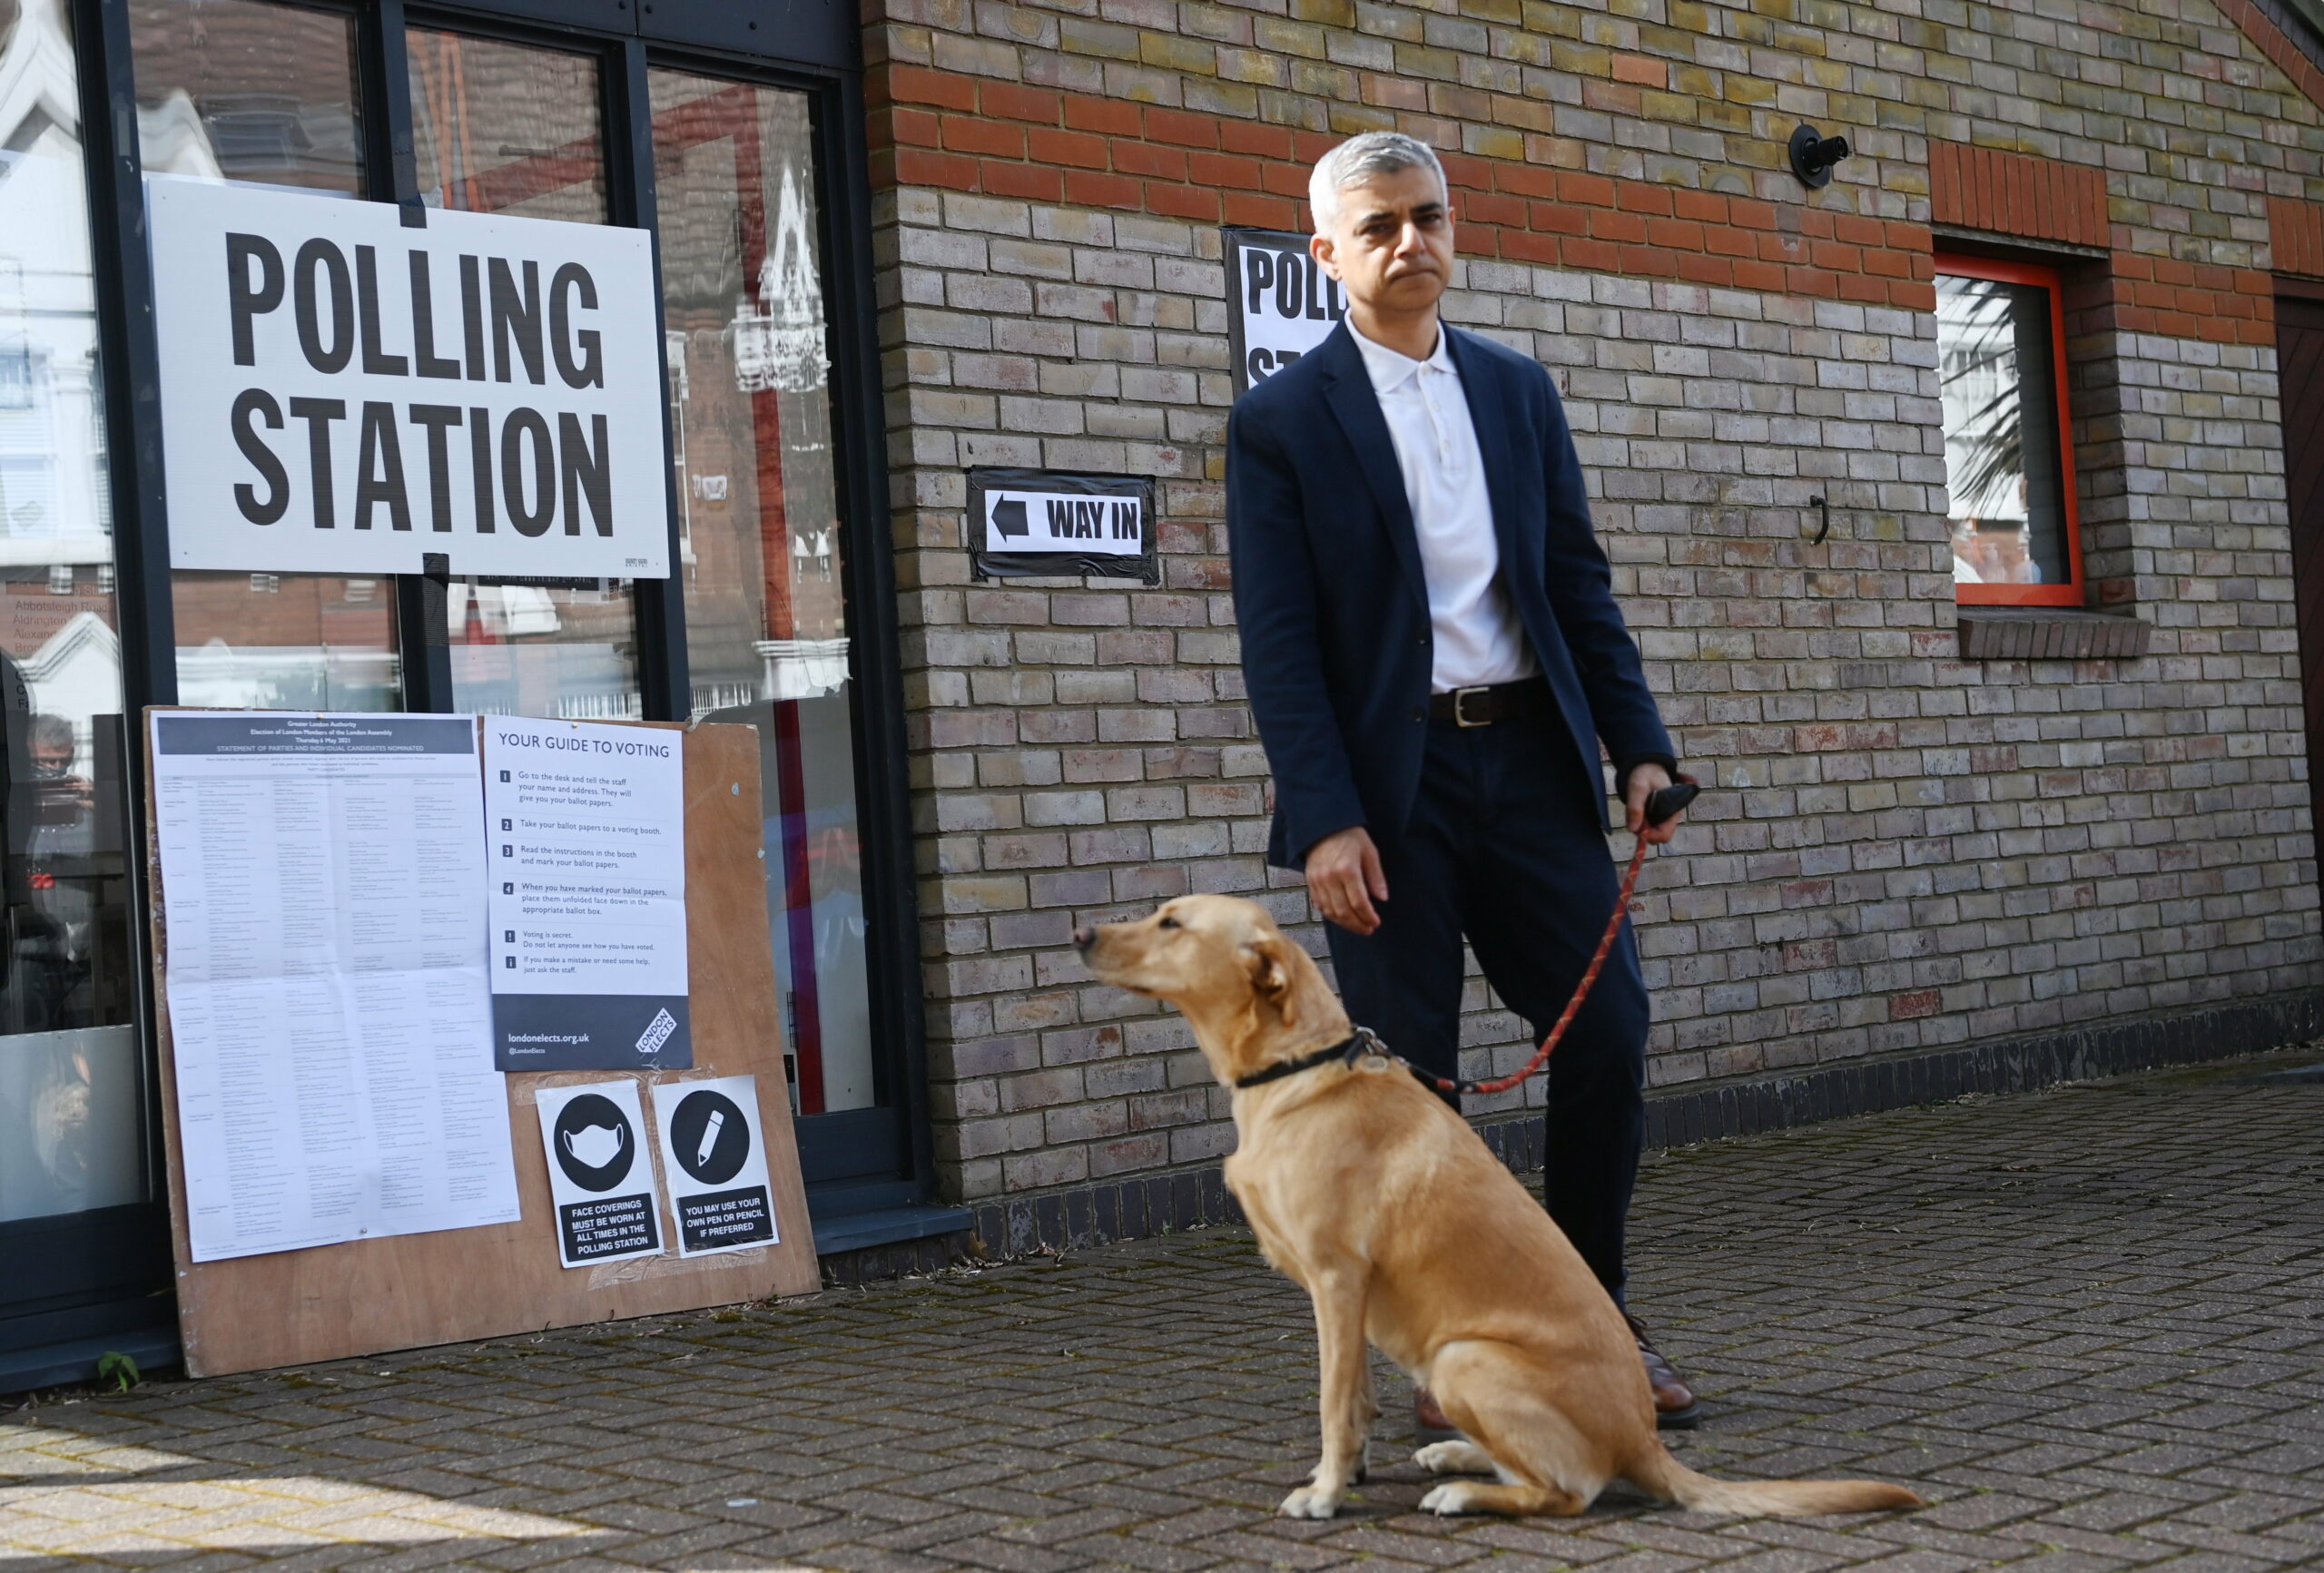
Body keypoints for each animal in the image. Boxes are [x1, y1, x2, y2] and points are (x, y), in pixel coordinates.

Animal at [1078, 897, 1915, 1524]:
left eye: (1171, 922)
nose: (1080, 933)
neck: (1296, 1068)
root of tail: (1645, 1439)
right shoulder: (1350, 1299)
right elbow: (1358, 1401)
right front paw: (1352, 1471)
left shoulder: (1336, 1280)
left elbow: (1332, 1402)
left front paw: (1324, 1492)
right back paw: (1455, 1453)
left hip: (1463, 1356)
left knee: (1569, 1490)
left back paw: (1462, 1488)